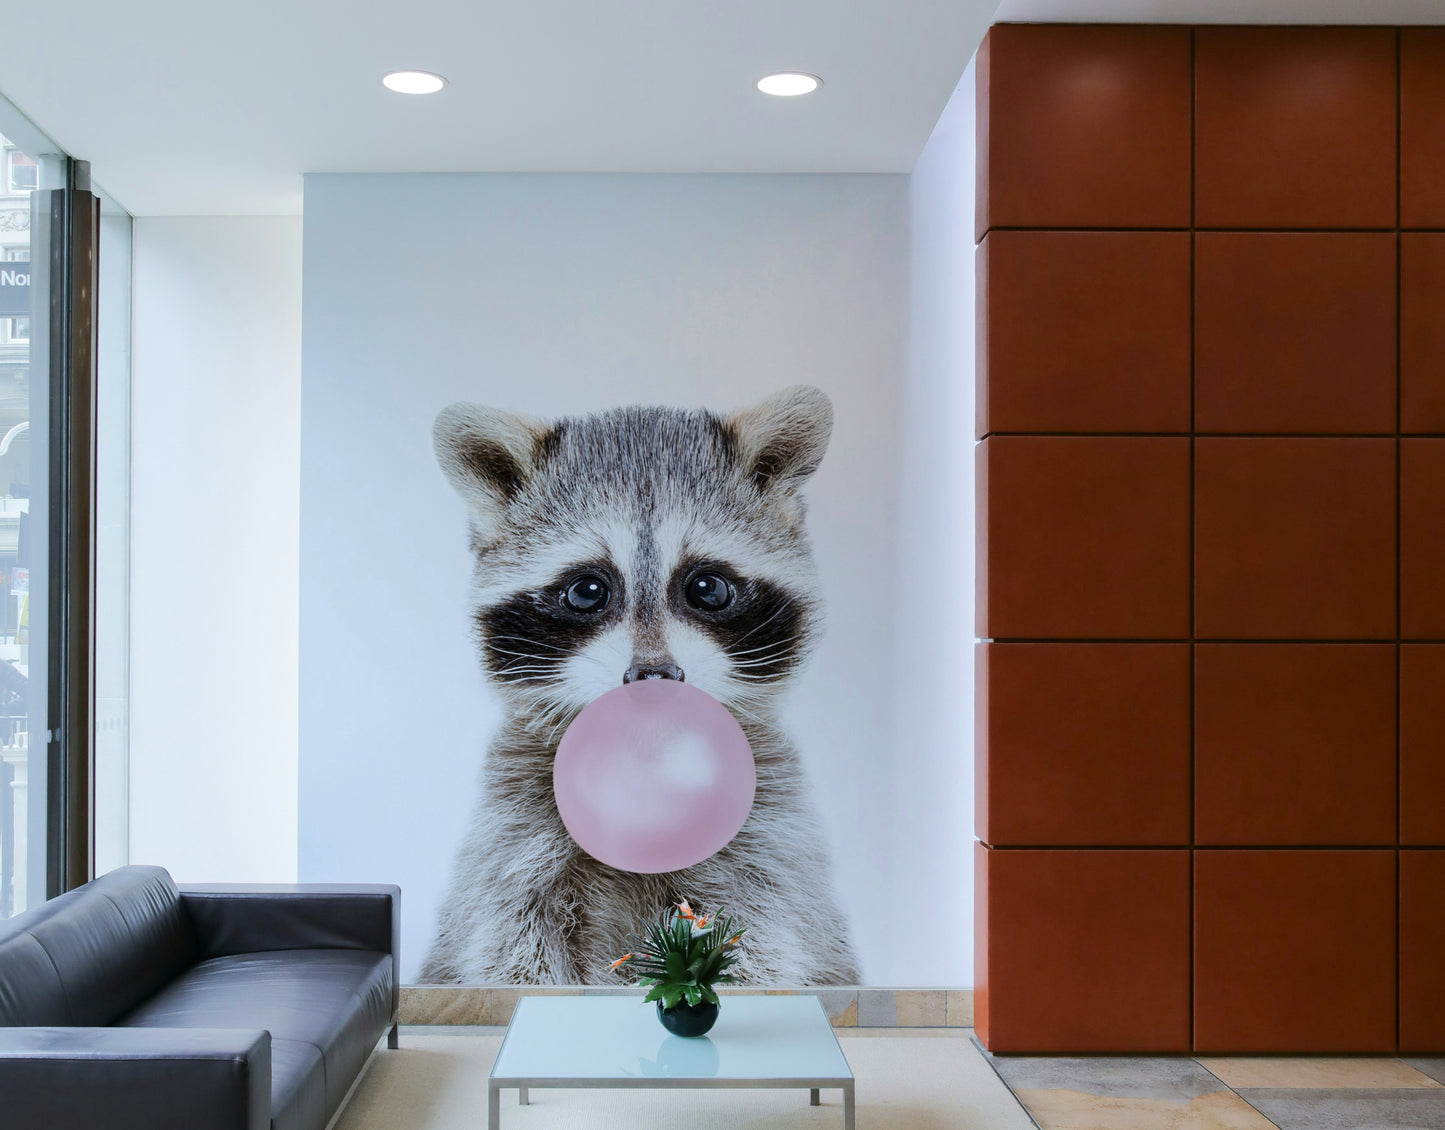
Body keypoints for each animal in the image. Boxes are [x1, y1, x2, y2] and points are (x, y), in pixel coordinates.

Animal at [420, 385, 860, 986]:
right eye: (587, 590)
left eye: (707, 587)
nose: (654, 676)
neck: (647, 758)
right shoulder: (516, 834)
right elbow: (510, 952)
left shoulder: (767, 835)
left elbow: (762, 946)